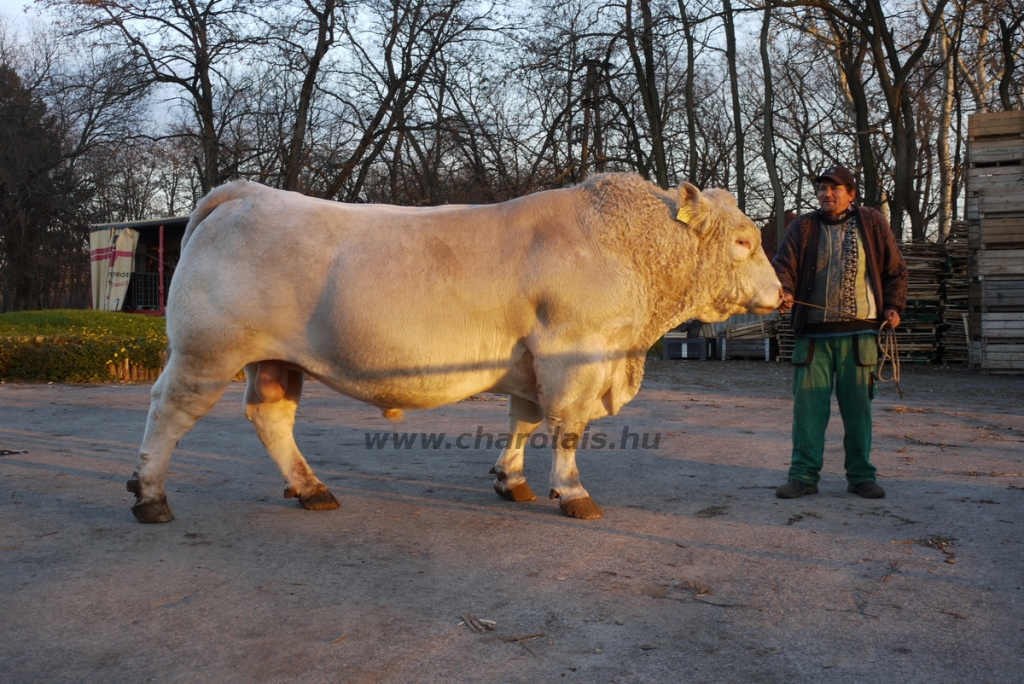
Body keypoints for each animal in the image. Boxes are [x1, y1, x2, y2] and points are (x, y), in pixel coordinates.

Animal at [130, 174, 782, 520]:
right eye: (744, 242)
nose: (782, 292)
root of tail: (245, 192)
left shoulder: (530, 362)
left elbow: (523, 420)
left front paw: (510, 480)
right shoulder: (573, 355)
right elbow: (567, 427)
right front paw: (572, 493)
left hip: (273, 359)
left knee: (270, 417)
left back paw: (311, 489)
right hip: (206, 352)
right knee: (168, 412)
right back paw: (149, 494)